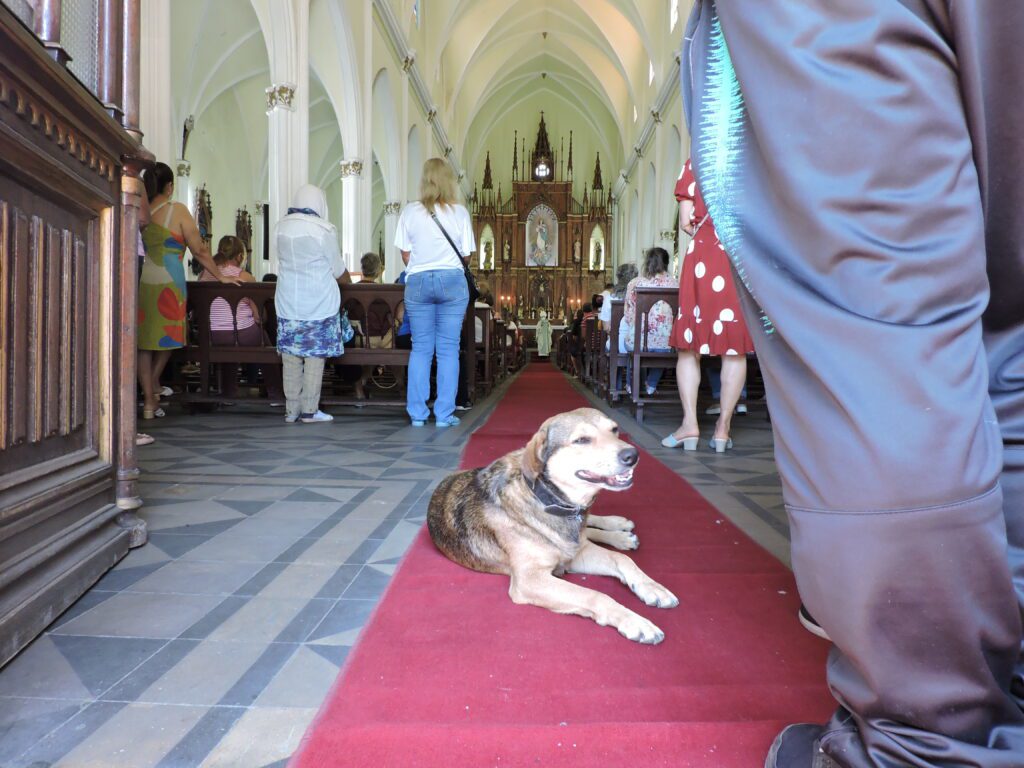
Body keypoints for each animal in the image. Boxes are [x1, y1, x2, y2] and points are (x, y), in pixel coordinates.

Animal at [425, 409, 675, 643]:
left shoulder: (575, 553)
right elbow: (594, 595)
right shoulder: (530, 579)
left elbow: (621, 560)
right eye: (581, 440)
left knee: (591, 526)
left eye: (614, 430)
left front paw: (653, 587)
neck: (547, 499)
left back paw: (619, 528)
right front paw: (635, 621)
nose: (632, 455)